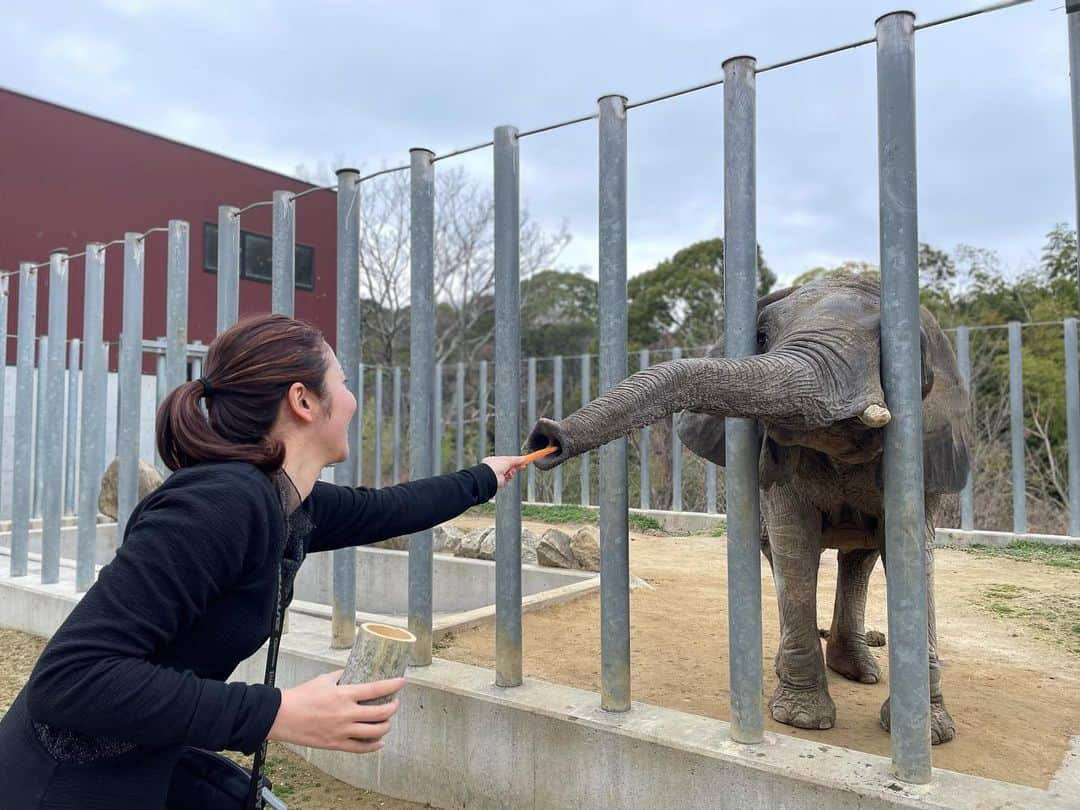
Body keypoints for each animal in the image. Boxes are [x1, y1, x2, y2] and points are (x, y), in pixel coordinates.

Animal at [522, 274, 972, 747]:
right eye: (761, 337)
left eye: (889, 342)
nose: (545, 436)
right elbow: (794, 541)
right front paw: (802, 720)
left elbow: (911, 552)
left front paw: (932, 733)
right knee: (789, 554)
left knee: (859, 557)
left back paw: (859, 671)